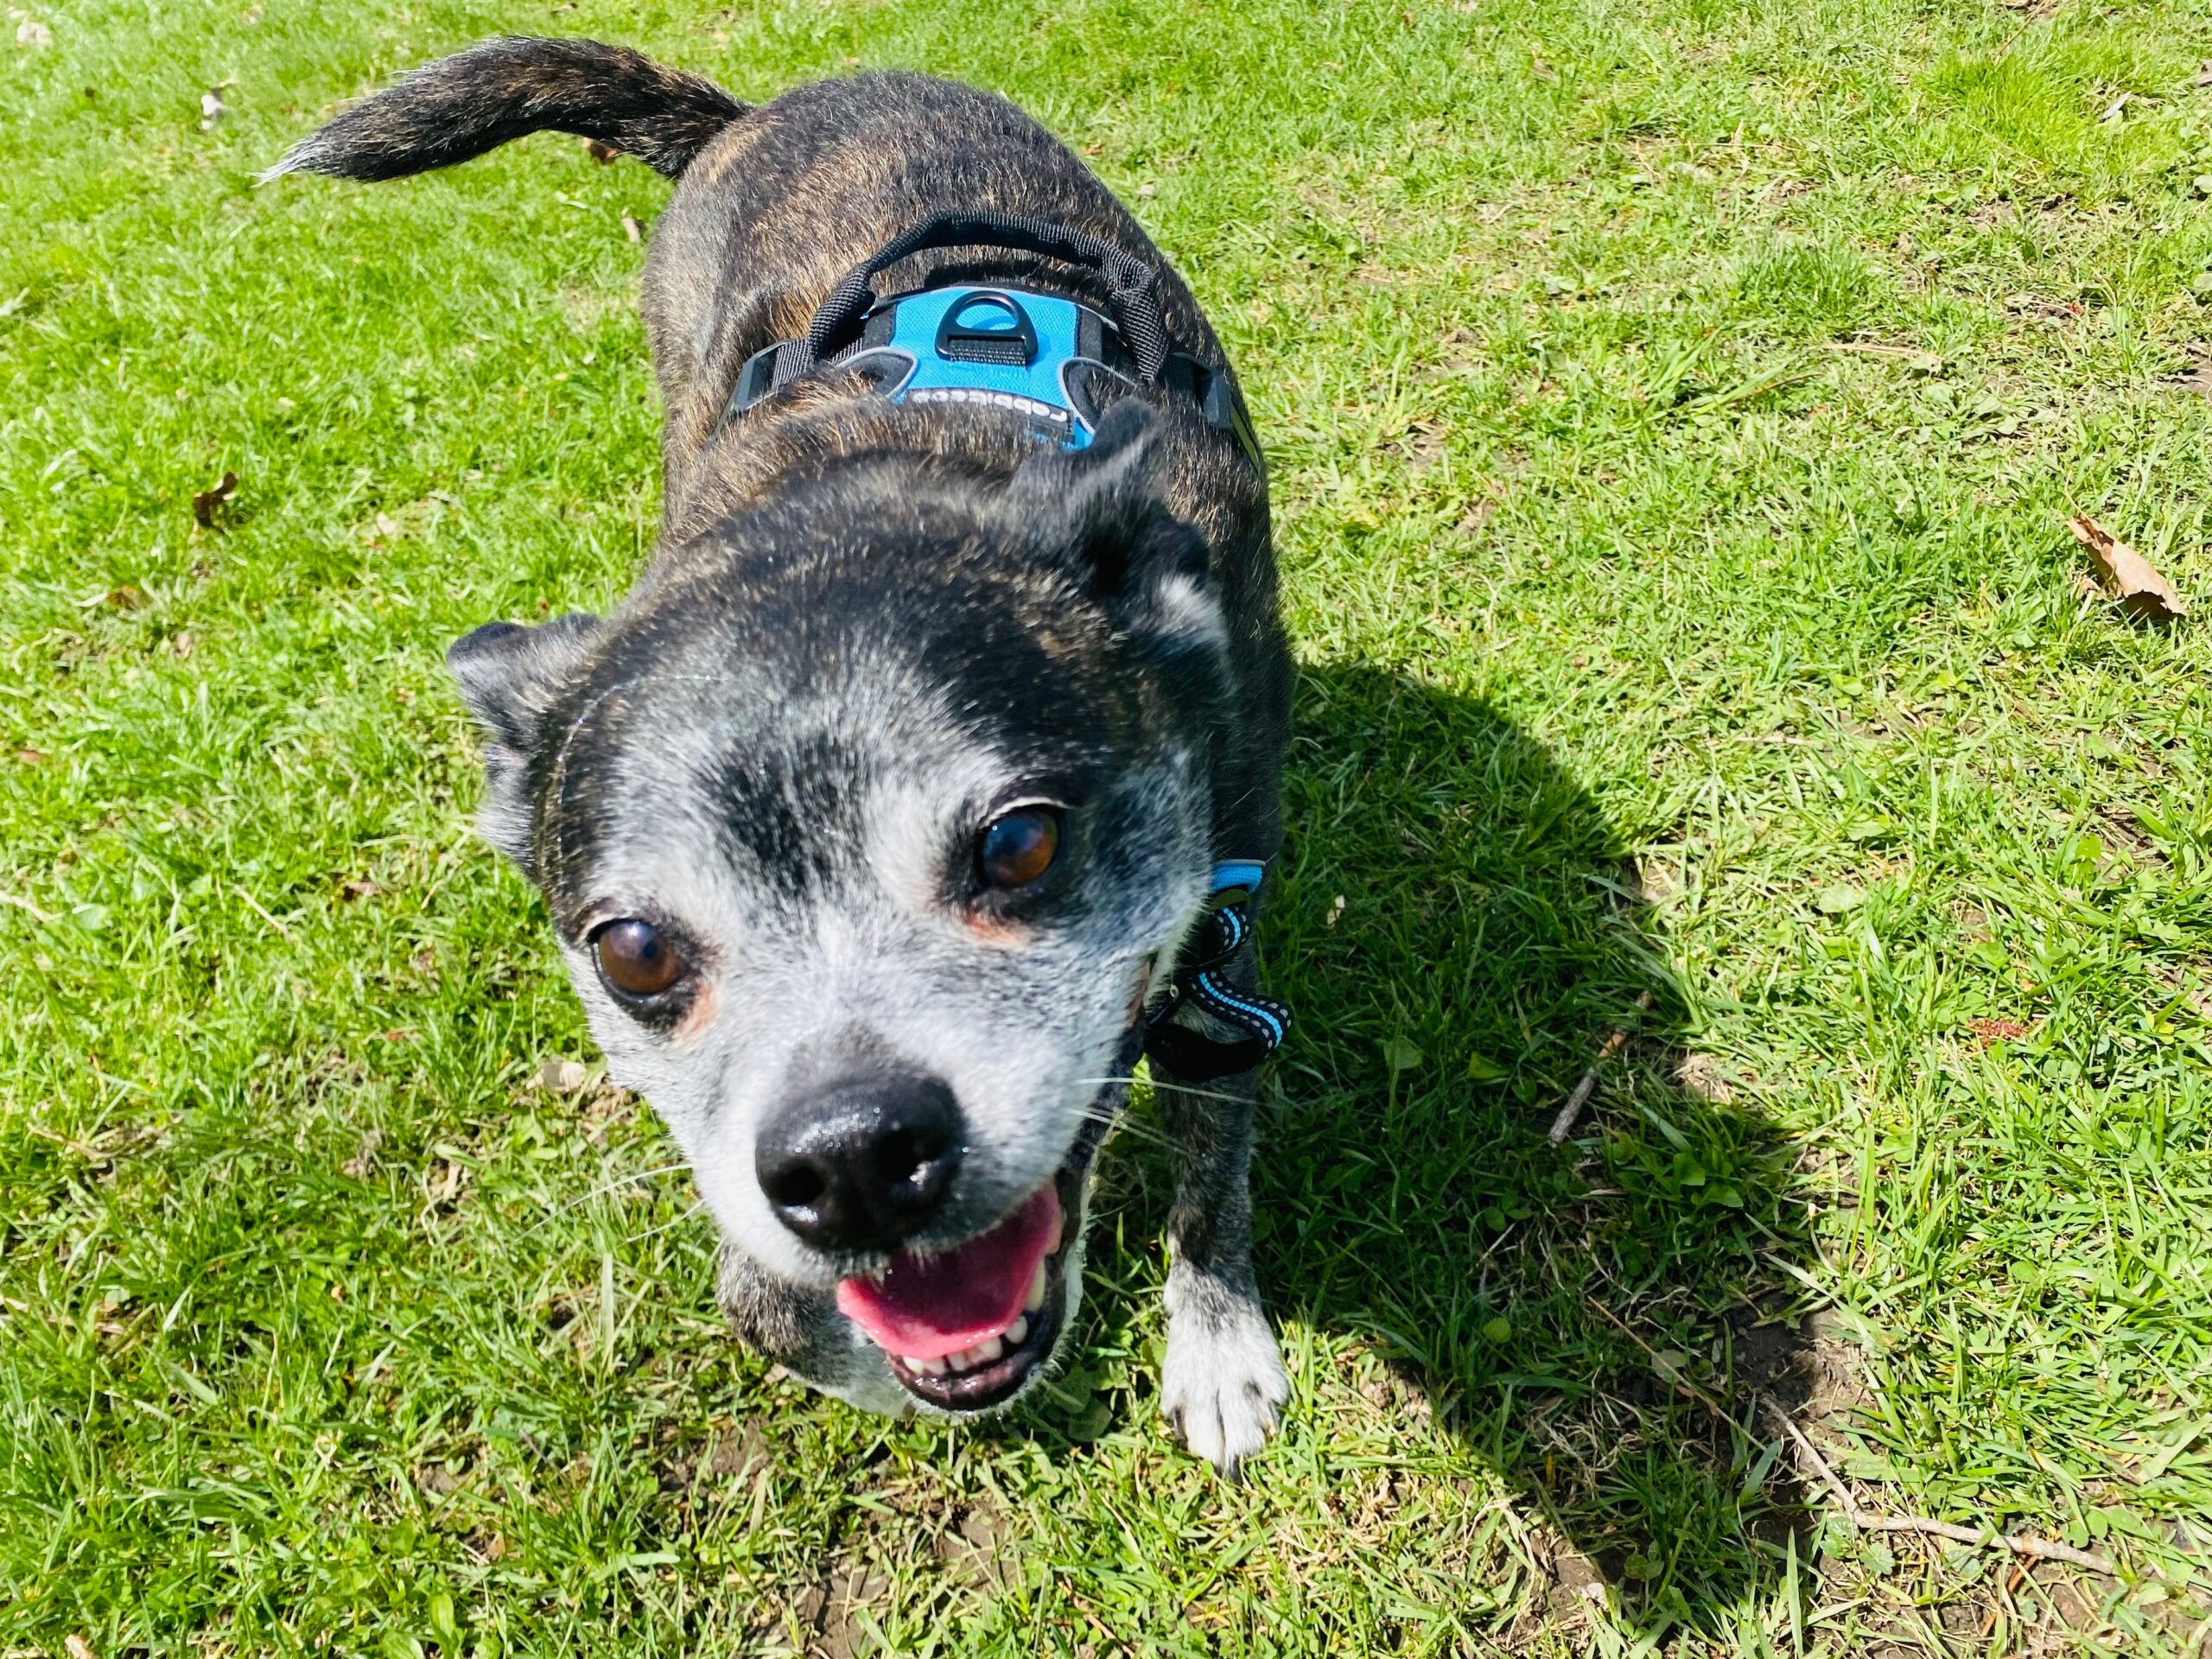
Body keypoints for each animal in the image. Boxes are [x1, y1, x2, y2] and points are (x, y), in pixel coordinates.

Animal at [276, 39, 1300, 1478]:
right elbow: (762, 1298)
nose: (851, 1155)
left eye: (1020, 843)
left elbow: (1214, 1145)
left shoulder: (1221, 941)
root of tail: (768, 103)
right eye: (634, 953)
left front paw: (1214, 1345)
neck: (885, 488)